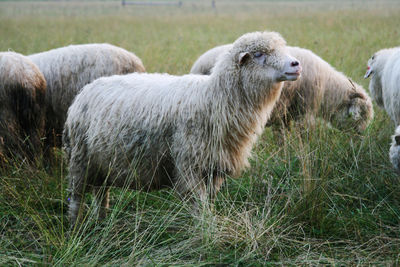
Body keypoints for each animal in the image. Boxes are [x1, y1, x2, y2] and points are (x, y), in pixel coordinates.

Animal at [63, 30, 300, 226]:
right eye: (259, 54)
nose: (296, 64)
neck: (214, 99)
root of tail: (83, 93)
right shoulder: (189, 165)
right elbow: (199, 205)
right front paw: (205, 233)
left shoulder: (214, 167)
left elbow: (208, 202)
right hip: (80, 159)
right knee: (76, 198)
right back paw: (74, 228)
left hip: (101, 162)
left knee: (101, 194)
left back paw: (101, 221)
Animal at [192, 45, 374, 137]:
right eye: (362, 114)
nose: (360, 135)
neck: (327, 89)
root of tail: (197, 65)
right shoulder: (304, 112)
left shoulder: (285, 115)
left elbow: (283, 137)